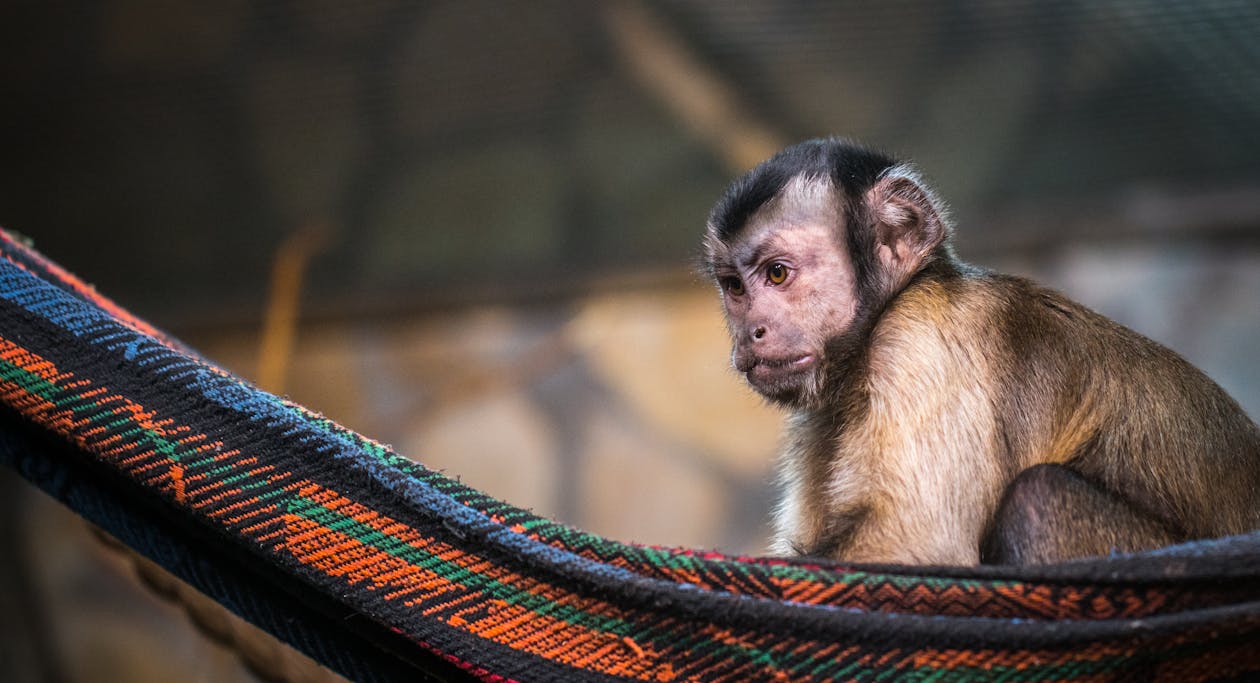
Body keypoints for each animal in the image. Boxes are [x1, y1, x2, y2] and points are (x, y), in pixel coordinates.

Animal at [700, 139, 1260, 567]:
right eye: (735, 287)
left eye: (777, 273)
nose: (751, 332)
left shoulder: (922, 336)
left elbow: (915, 542)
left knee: (1039, 500)